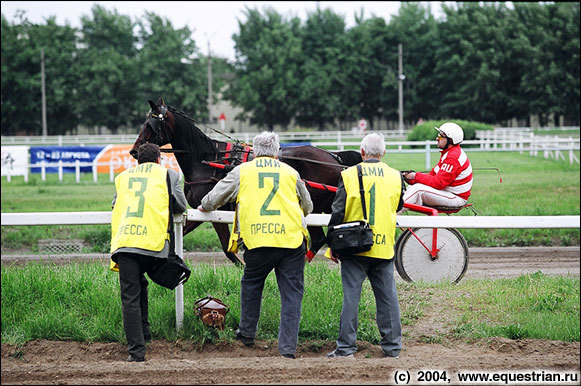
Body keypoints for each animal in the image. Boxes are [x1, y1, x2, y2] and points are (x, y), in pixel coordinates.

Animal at [130, 97, 362, 266]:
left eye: (150, 124)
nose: (134, 151)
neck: (207, 160)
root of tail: (333, 157)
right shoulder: (200, 210)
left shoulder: (216, 209)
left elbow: (227, 249)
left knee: (320, 238)